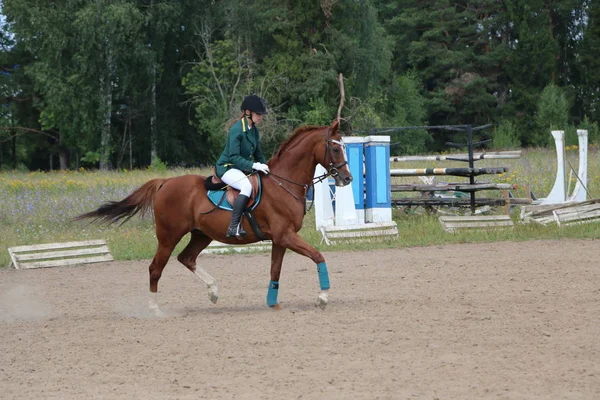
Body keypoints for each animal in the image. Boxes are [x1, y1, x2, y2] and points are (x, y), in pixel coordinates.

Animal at [77, 119, 354, 316]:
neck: (283, 183)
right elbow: (318, 256)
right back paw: (155, 309)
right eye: (333, 148)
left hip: (201, 235)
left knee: (186, 258)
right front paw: (323, 297)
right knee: (156, 267)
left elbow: (275, 270)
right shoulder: (285, 235)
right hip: (168, 236)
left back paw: (213, 291)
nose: (347, 178)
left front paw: (272, 303)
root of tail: (165, 182)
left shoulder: (280, 239)